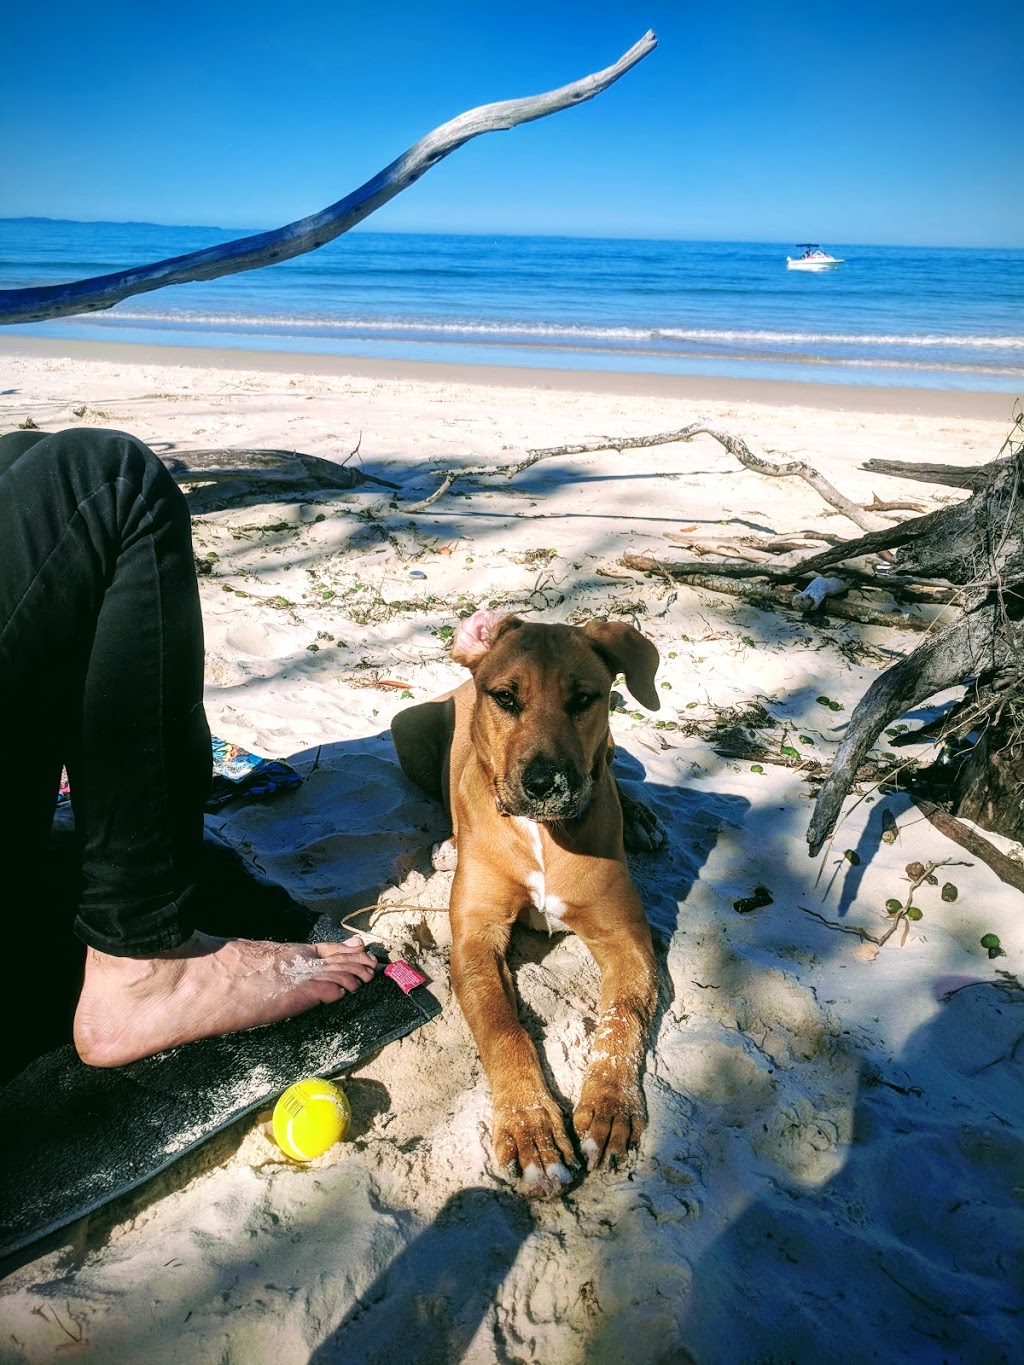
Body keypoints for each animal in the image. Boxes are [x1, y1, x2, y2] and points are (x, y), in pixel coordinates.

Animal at [393, 614, 666, 1201]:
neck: (541, 832)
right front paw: (531, 1129)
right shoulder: (475, 938)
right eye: (505, 698)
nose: (545, 784)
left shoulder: (627, 937)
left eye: (583, 698)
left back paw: (641, 818)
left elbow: (622, 1018)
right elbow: (504, 1029)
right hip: (406, 734)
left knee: (614, 769)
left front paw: (609, 1105)